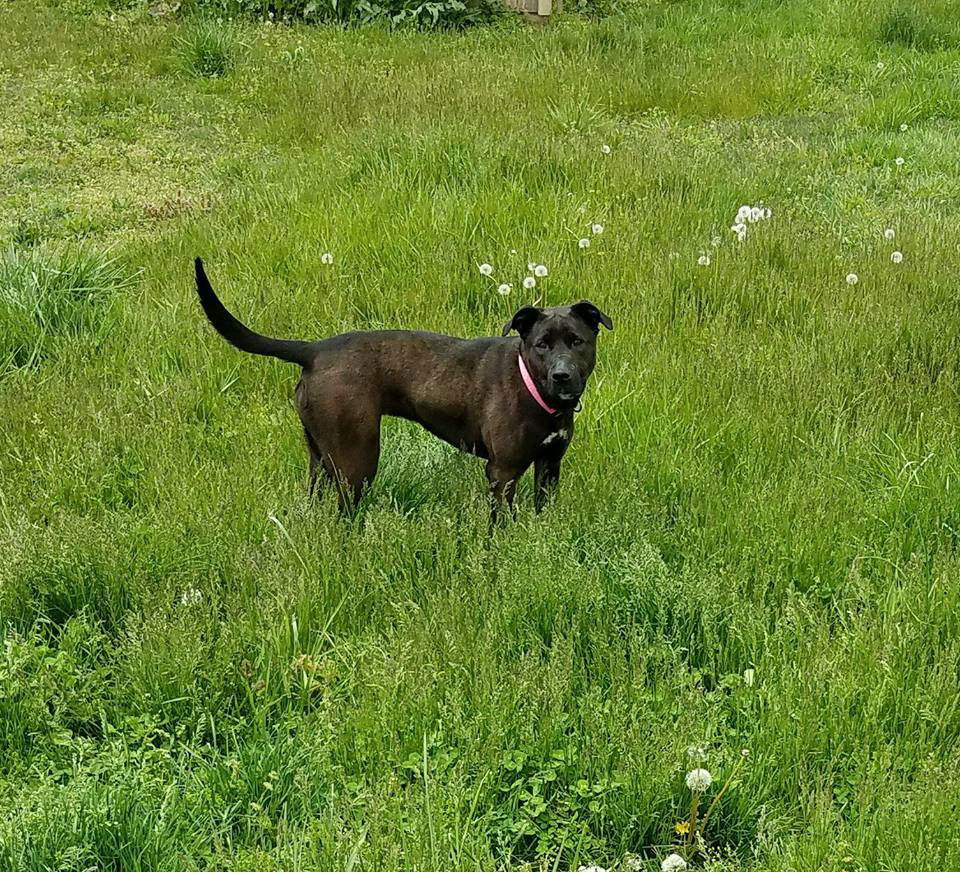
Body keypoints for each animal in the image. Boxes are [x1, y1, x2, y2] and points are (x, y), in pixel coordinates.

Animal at [195, 258, 616, 516]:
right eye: (542, 344)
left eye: (576, 341)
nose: (562, 375)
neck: (535, 391)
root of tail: (314, 349)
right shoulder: (503, 473)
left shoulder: (550, 466)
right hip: (356, 460)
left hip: (321, 456)